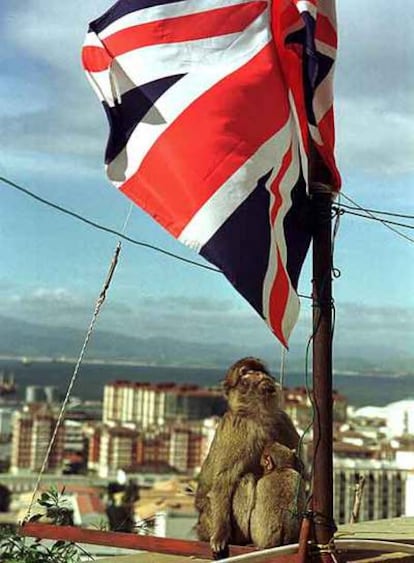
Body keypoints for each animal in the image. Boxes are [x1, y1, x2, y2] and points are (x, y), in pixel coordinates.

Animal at [196, 356, 306, 560]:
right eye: (246, 373)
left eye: (259, 370)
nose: (260, 375)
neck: (258, 414)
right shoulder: (237, 427)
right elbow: (224, 480)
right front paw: (220, 534)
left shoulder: (283, 419)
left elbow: (301, 469)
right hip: (207, 520)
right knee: (244, 480)